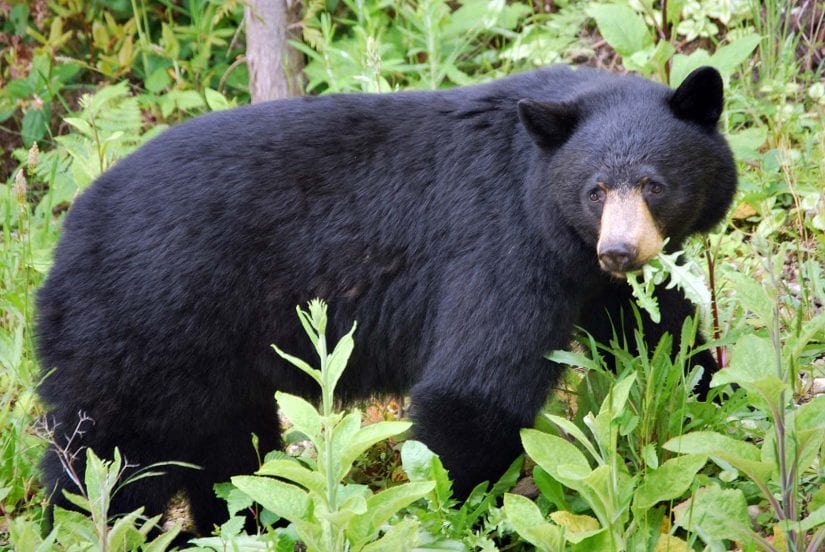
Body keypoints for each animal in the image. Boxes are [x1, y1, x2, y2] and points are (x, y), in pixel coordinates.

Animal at [37, 64, 732, 536]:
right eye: (596, 190)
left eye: (653, 184)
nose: (619, 250)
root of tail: (65, 237)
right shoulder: (503, 245)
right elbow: (476, 387)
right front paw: (457, 513)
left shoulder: (592, 278)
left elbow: (658, 333)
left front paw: (708, 403)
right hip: (143, 321)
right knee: (107, 458)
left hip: (209, 358)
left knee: (232, 450)